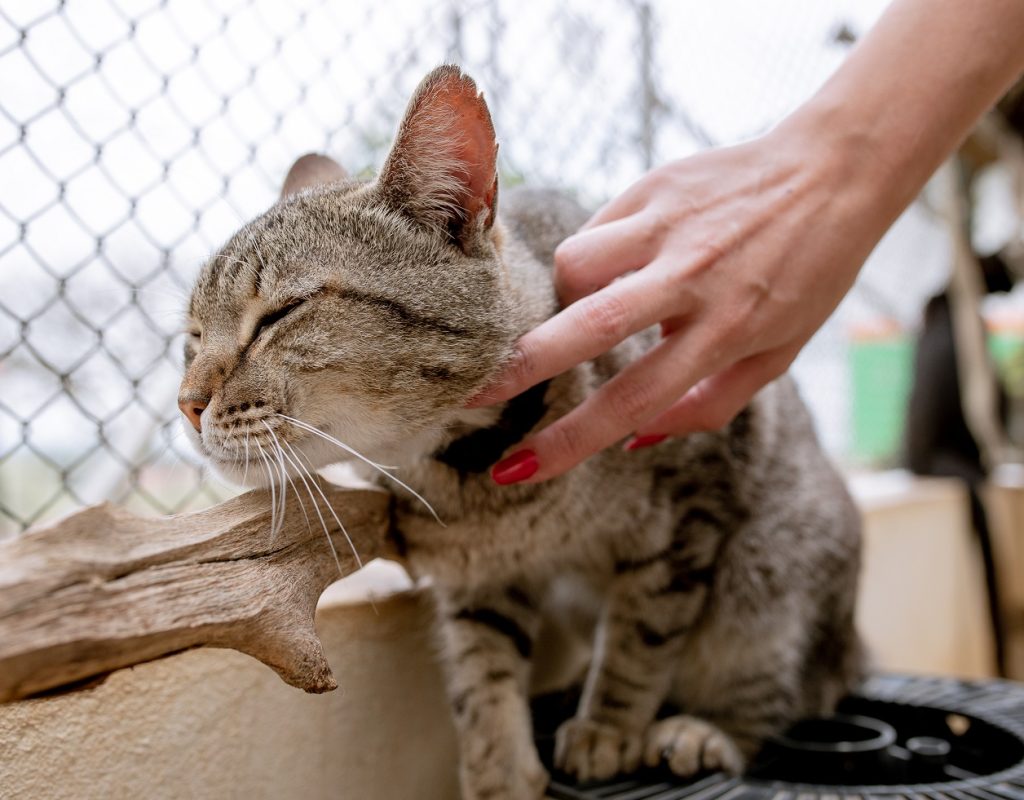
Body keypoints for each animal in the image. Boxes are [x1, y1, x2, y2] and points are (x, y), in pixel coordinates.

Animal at [180, 65, 860, 794]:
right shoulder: (479, 580)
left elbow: (641, 634)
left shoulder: (691, 503)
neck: (477, 481)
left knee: (784, 701)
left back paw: (701, 732)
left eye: (281, 313)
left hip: (767, 588)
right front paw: (498, 771)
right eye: (191, 337)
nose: (186, 404)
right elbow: (483, 679)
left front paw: (609, 726)